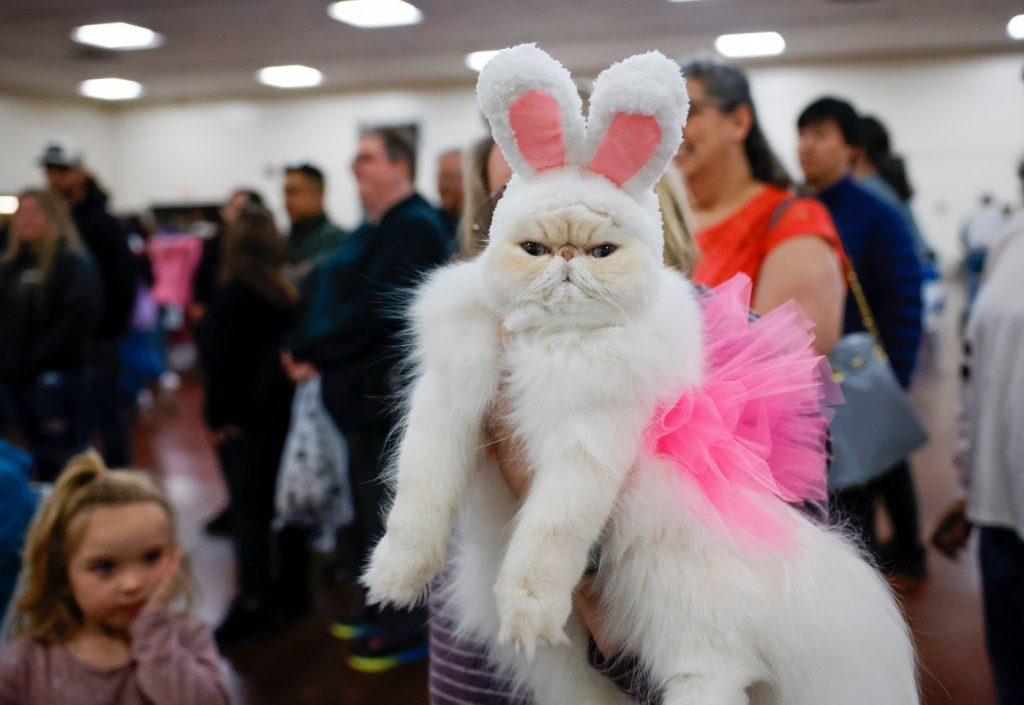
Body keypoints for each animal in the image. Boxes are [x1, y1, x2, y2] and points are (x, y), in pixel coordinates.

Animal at [362, 45, 921, 705]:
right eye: (532, 250)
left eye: (602, 252)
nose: (568, 259)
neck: (552, 342)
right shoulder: (447, 410)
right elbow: (418, 506)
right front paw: (393, 582)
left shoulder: (587, 446)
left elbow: (546, 543)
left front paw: (527, 613)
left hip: (679, 602)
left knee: (713, 674)